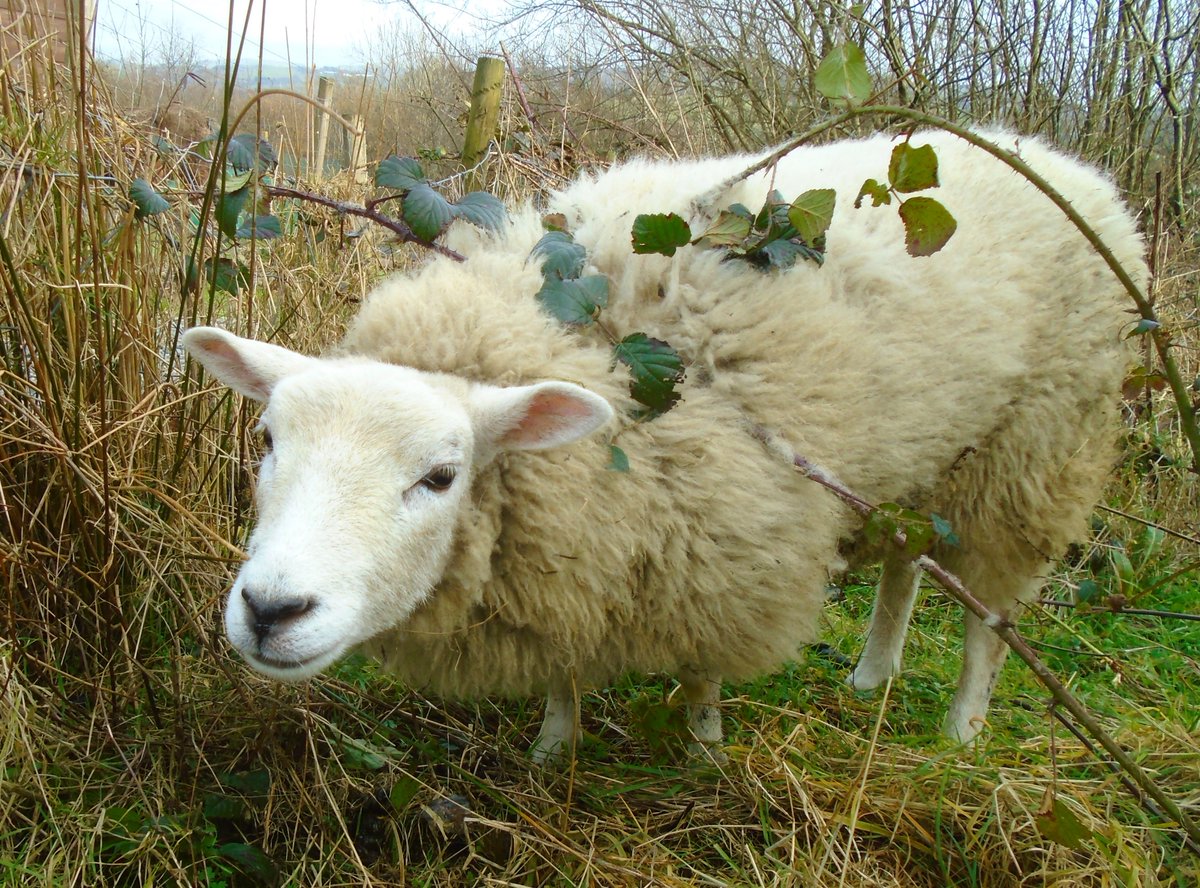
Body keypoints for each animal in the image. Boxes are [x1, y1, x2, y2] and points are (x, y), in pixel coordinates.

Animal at [183, 130, 1144, 759]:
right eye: (266, 440)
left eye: (442, 476)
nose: (270, 610)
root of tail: (1066, 165)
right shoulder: (581, 552)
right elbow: (566, 666)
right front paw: (554, 747)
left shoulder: (728, 537)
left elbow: (704, 669)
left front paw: (705, 746)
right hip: (933, 454)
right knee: (910, 558)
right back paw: (872, 676)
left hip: (1041, 441)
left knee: (989, 613)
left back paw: (963, 730)